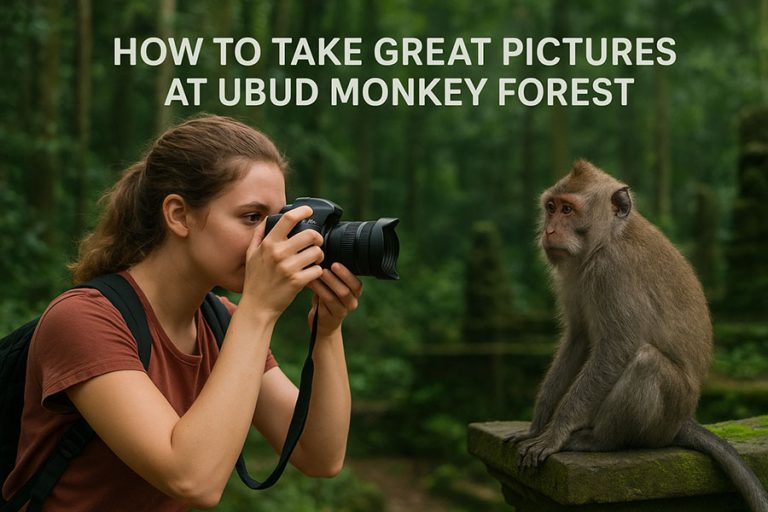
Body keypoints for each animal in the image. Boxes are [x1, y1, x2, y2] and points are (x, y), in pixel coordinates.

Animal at [506, 160, 768, 512]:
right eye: (551, 208)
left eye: (568, 209)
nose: (549, 231)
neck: (606, 240)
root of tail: (683, 421)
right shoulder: (573, 275)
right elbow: (578, 340)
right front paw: (536, 426)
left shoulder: (611, 273)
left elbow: (618, 348)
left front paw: (555, 433)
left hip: (667, 414)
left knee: (646, 362)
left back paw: (598, 441)